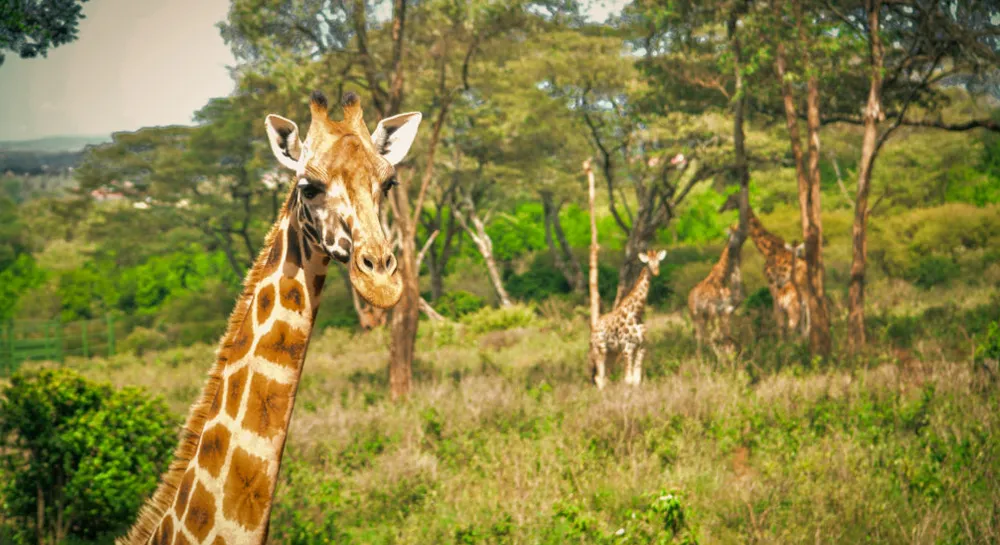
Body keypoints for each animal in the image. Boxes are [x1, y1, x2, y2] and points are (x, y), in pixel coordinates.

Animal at [590, 249, 666, 389]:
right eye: (648, 262)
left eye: (658, 261)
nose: (656, 272)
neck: (636, 313)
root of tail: (593, 328)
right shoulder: (627, 347)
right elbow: (628, 380)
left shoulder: (642, 347)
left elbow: (636, 380)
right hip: (600, 349)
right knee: (599, 378)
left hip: (612, 352)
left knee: (604, 377)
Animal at [687, 225, 744, 358]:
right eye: (736, 232)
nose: (734, 247)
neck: (721, 277)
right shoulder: (723, 311)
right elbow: (723, 337)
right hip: (704, 315)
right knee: (708, 337)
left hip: (700, 316)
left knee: (701, 337)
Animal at [720, 195, 808, 337]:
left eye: (730, 199)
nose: (720, 209)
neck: (766, 248)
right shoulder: (779, 283)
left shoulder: (772, 280)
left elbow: (777, 313)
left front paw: (781, 340)